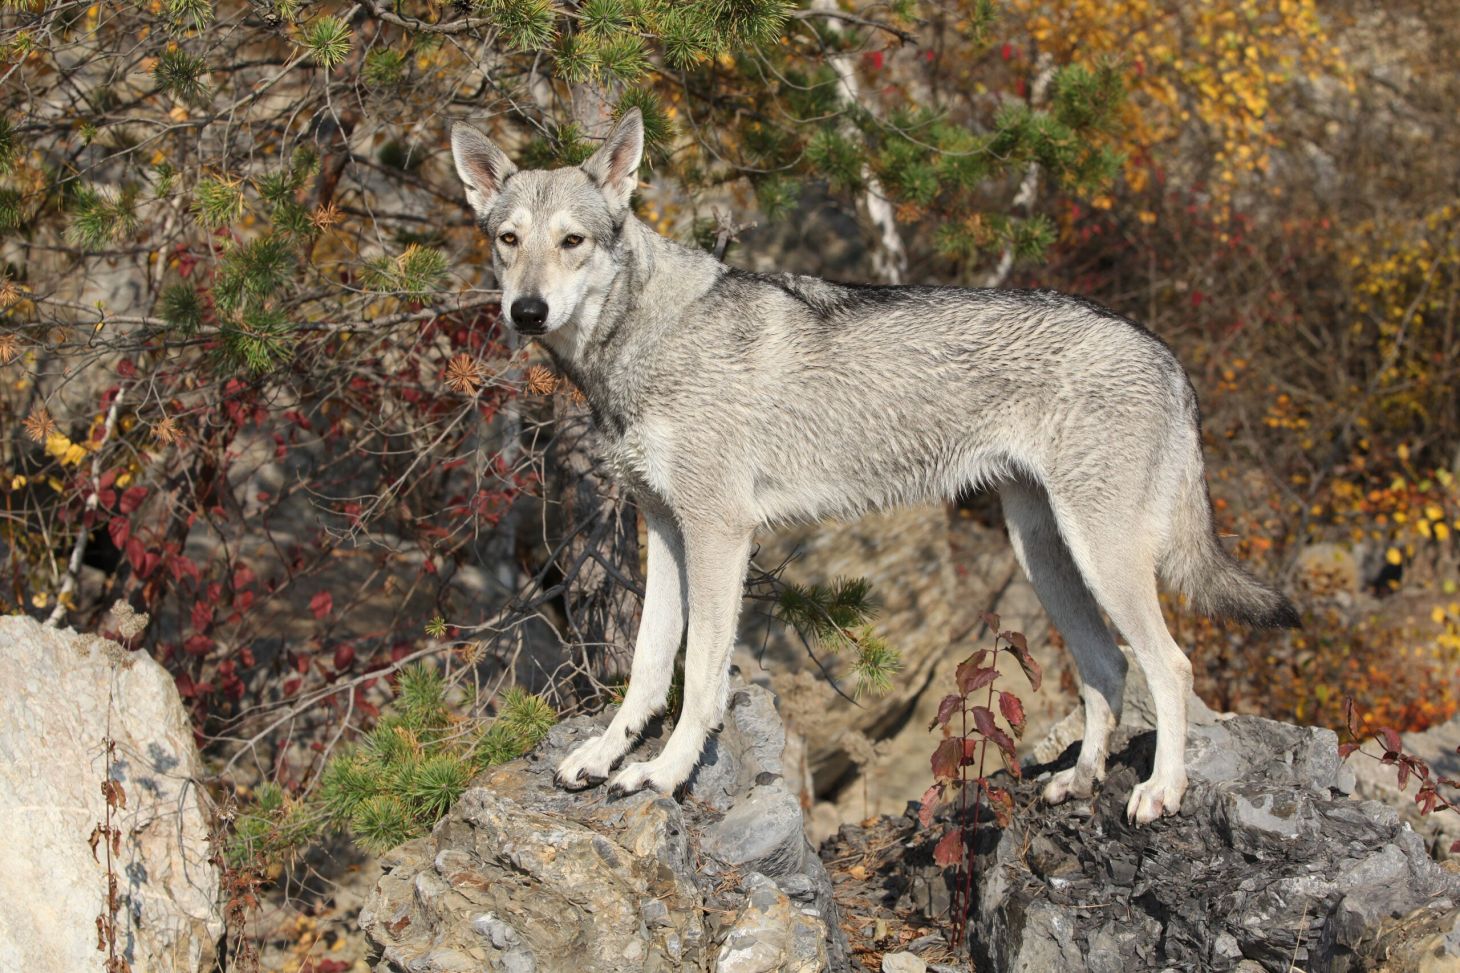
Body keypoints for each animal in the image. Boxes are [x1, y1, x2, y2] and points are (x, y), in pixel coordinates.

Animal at [450, 108, 1299, 824]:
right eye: (508, 240)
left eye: (572, 242)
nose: (527, 312)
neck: (644, 340)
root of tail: (1169, 355)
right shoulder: (663, 529)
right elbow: (649, 670)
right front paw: (602, 756)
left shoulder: (719, 533)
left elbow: (701, 680)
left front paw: (663, 772)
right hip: (1047, 556)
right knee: (1109, 667)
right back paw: (1080, 780)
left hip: (1102, 556)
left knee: (1172, 667)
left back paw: (1160, 791)